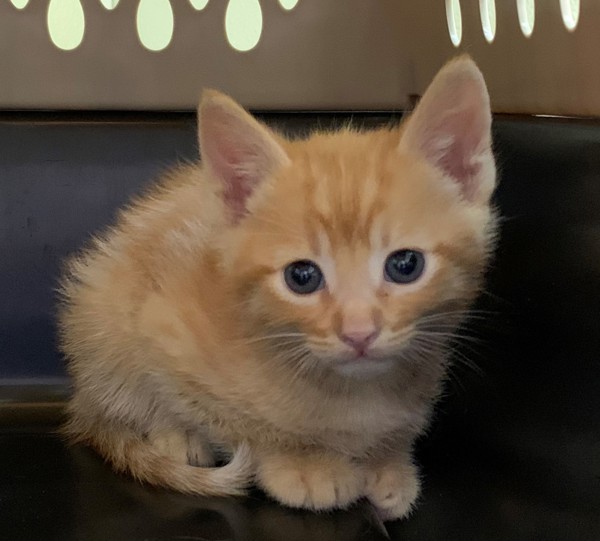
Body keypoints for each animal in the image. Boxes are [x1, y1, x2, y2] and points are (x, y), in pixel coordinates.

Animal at [57, 56, 496, 520]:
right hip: (101, 311)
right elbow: (238, 424)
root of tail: (80, 402)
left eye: (406, 265)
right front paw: (302, 464)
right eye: (301, 276)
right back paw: (173, 437)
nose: (358, 333)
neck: (353, 395)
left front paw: (387, 463)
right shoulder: (161, 330)